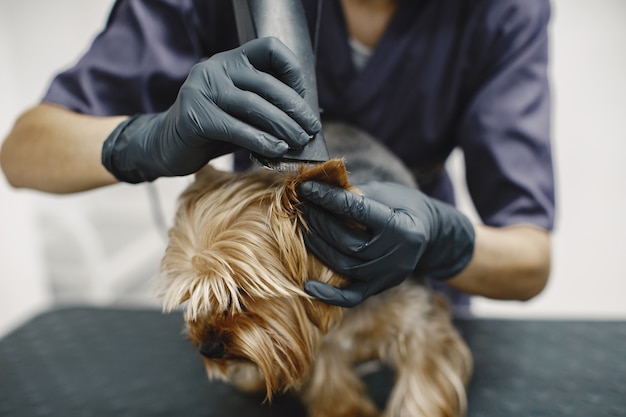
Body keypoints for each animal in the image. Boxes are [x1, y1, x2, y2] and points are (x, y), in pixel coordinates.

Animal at [154, 122, 470, 414]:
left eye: (242, 291)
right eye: (195, 296)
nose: (207, 348)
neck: (351, 307)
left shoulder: (419, 322)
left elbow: (421, 387)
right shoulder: (313, 335)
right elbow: (332, 386)